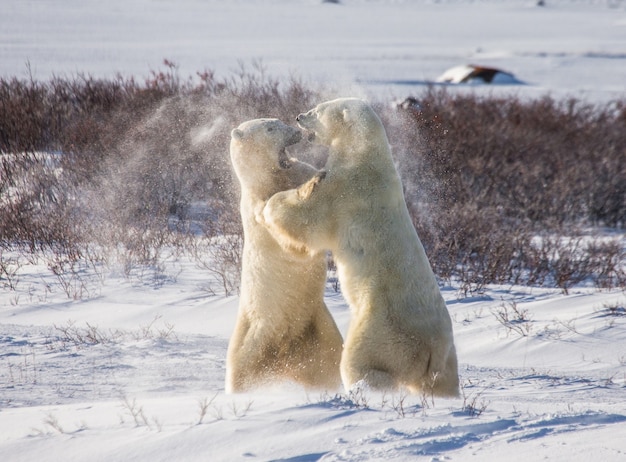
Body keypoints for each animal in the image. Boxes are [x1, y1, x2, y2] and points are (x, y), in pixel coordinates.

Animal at [224, 117, 342, 392]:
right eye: (270, 127)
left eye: (276, 120)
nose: (294, 131)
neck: (271, 180)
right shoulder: (257, 209)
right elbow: (289, 234)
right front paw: (310, 187)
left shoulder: (297, 170)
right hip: (253, 332)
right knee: (240, 370)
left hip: (316, 327)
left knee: (332, 360)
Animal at [258, 98, 458, 398]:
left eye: (317, 110)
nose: (299, 116)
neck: (364, 153)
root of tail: (433, 349)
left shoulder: (345, 189)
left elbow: (307, 218)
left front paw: (267, 206)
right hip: (448, 353)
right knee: (446, 380)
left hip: (381, 325)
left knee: (361, 359)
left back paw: (362, 386)